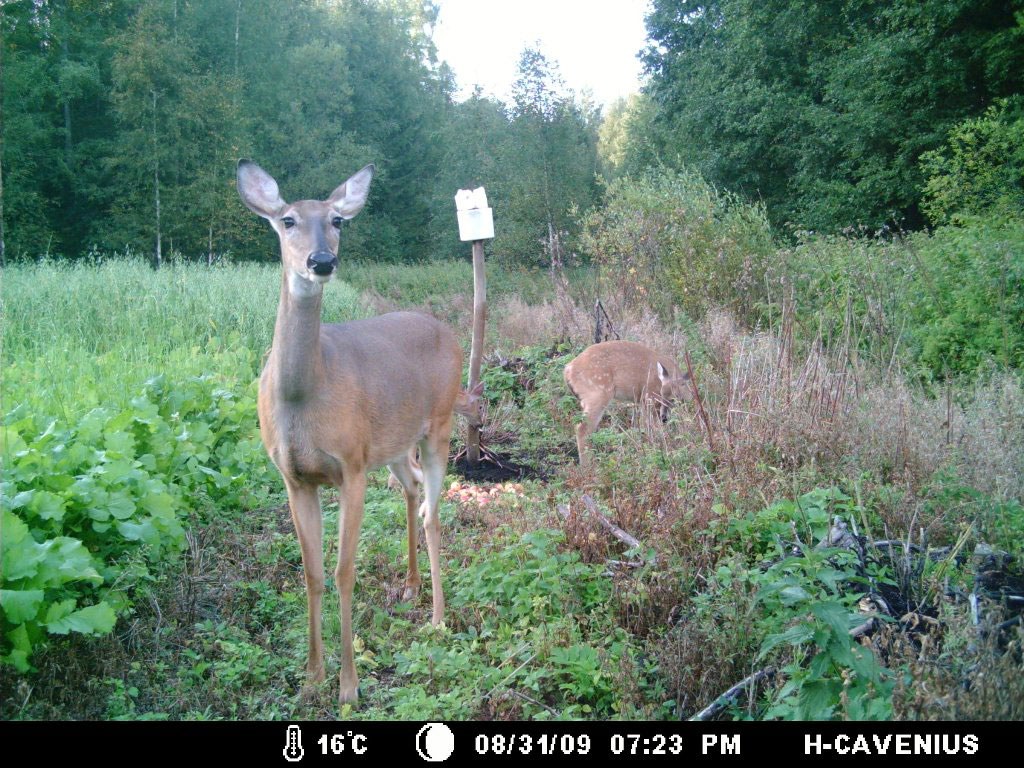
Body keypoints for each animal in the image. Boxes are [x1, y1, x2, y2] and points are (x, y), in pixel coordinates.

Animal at [235, 159, 460, 708]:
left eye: (337, 220)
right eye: (288, 220)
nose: (321, 261)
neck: (304, 394)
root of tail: (446, 328)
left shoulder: (351, 468)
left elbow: (343, 572)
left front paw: (349, 685)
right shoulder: (295, 477)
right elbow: (312, 572)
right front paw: (312, 675)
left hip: (440, 424)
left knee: (433, 513)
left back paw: (438, 618)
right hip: (394, 442)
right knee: (412, 487)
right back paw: (411, 586)